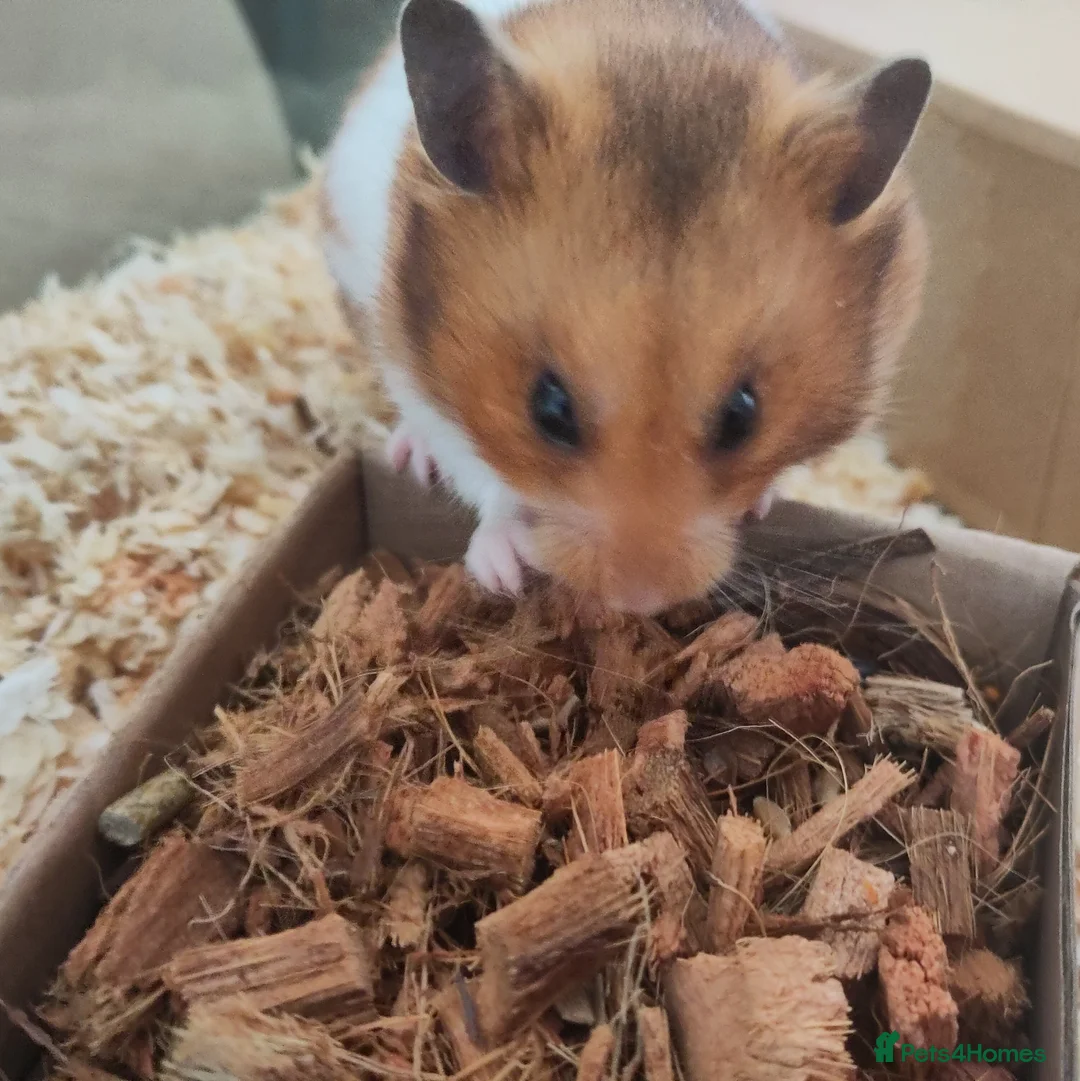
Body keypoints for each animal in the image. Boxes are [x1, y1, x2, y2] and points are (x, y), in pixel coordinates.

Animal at [321, 0, 931, 615]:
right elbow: (483, 476)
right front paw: (506, 573)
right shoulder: (416, 376)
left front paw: (760, 500)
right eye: (549, 410)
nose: (639, 600)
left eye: (743, 416)